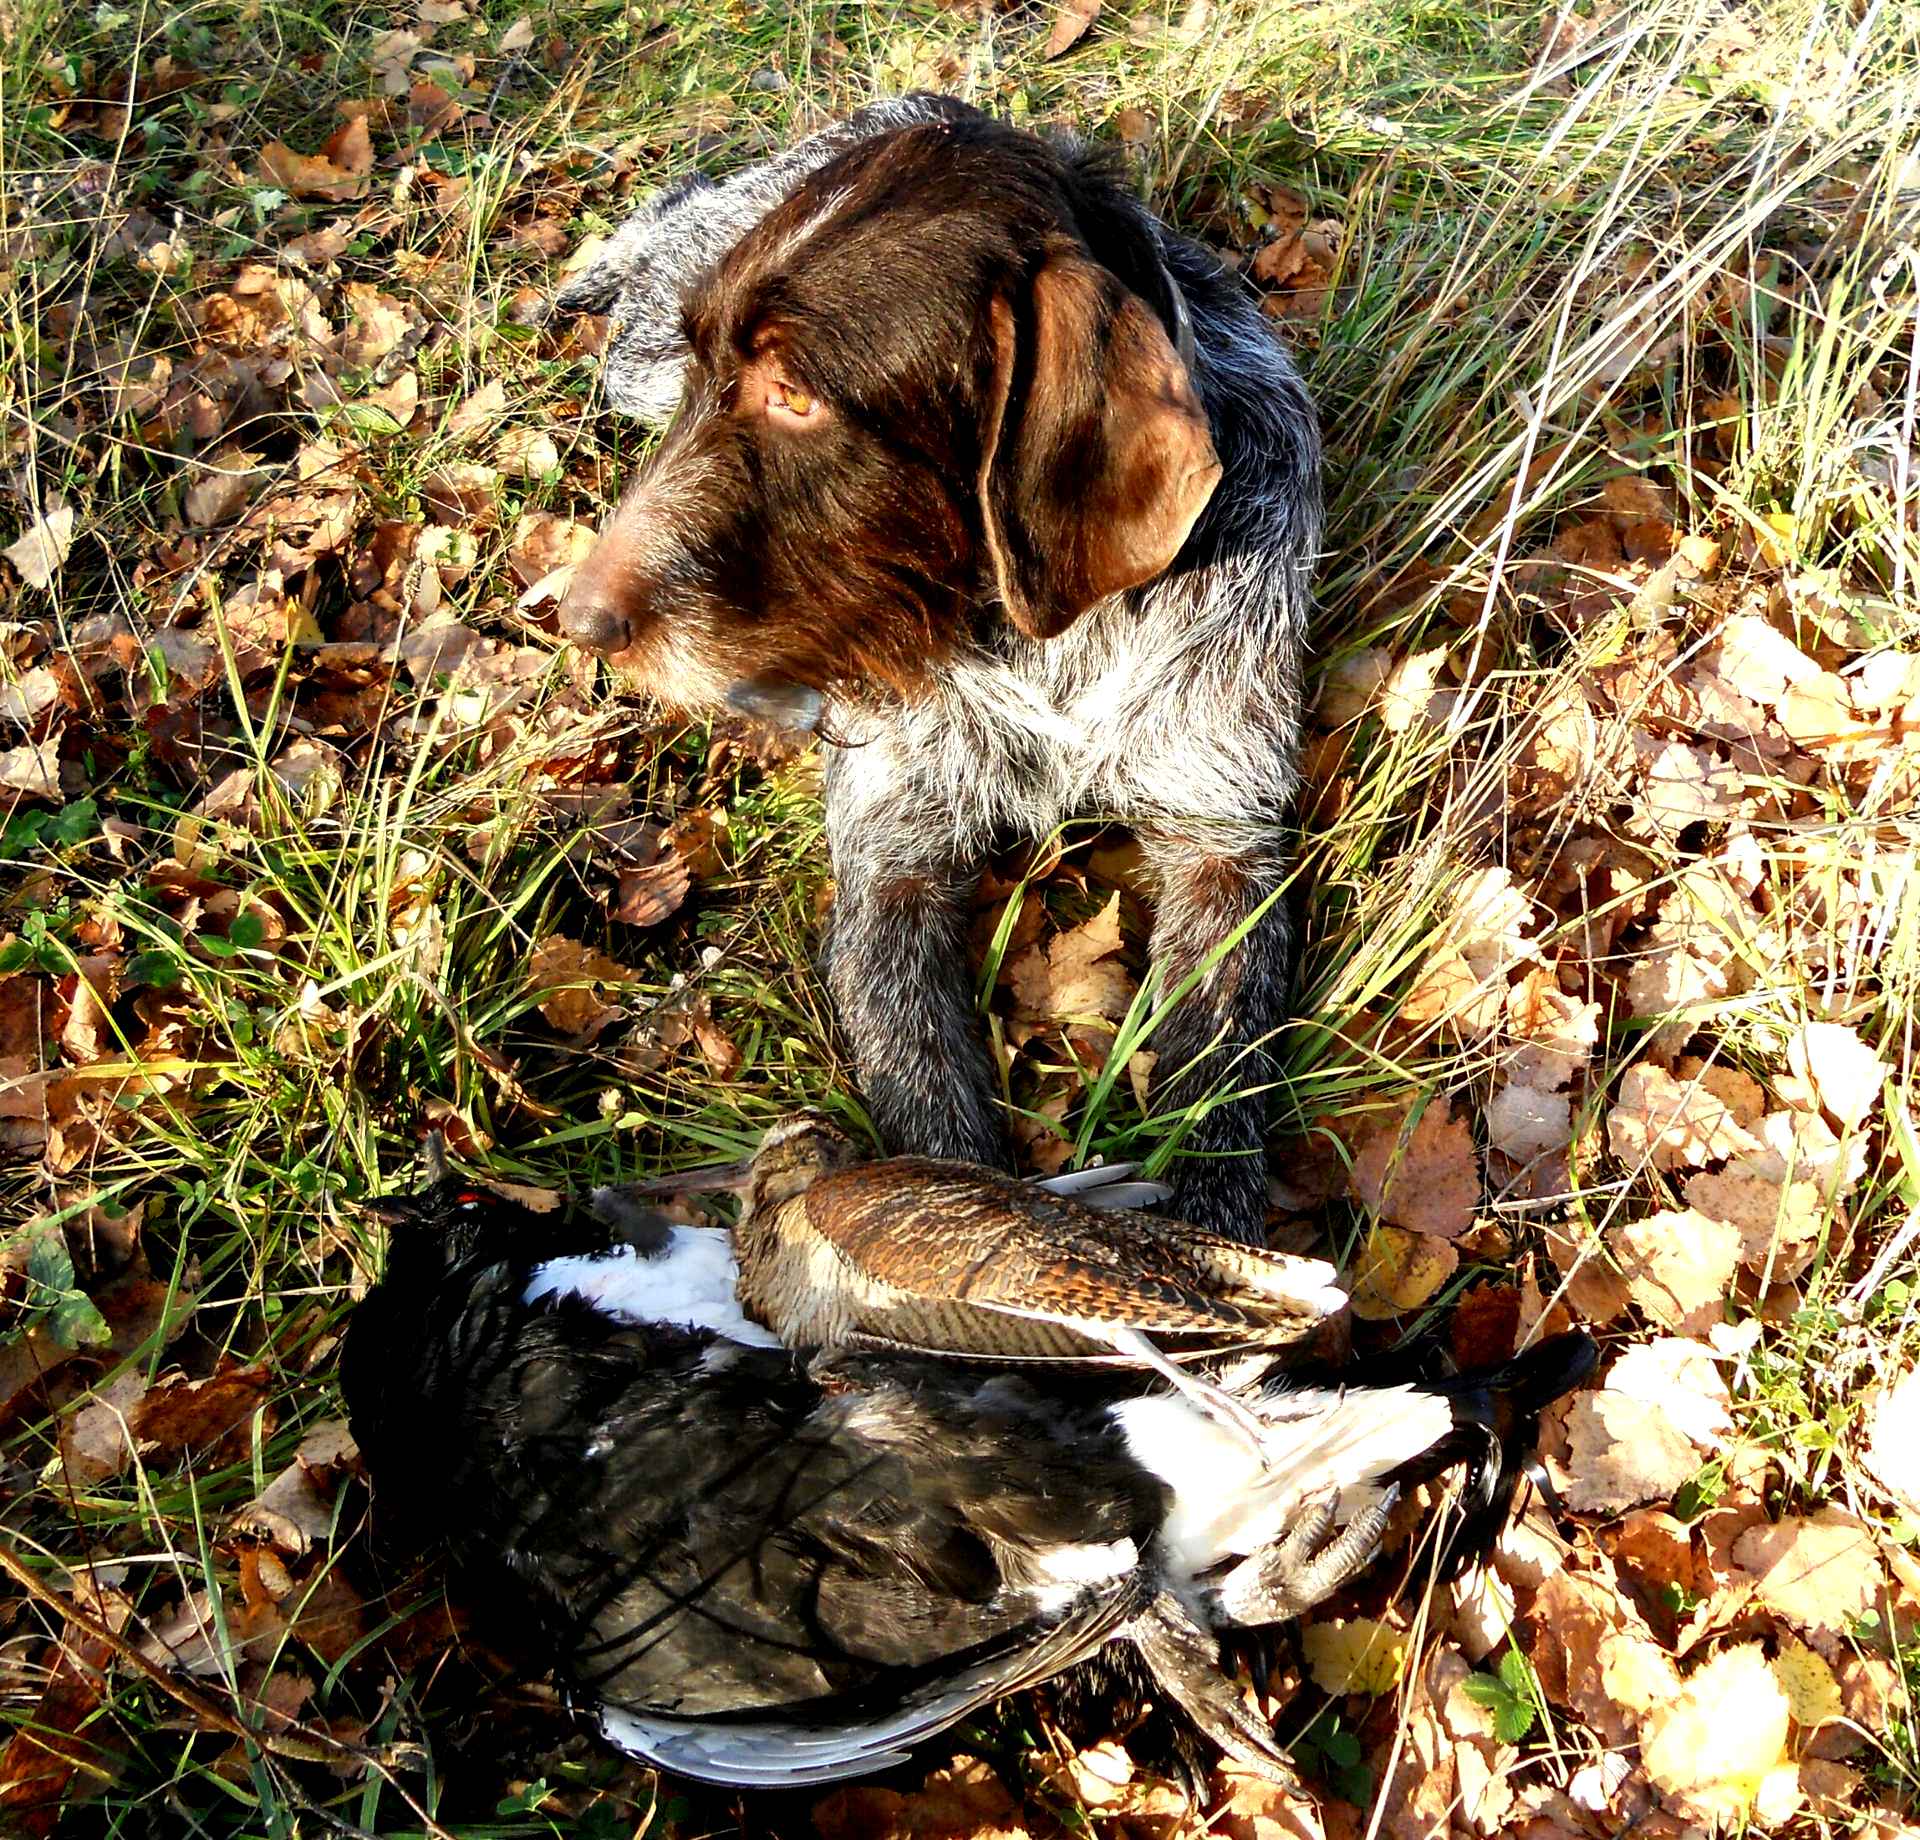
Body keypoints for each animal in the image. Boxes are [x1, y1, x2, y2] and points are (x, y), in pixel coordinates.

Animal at [556, 104, 1320, 1252]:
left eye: (794, 396)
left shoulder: (1223, 839)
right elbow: (928, 1109)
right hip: (636, 357)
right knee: (661, 228)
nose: (575, 621)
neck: (1040, 646)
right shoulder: (892, 873)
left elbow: (1219, 1095)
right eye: (711, 373)